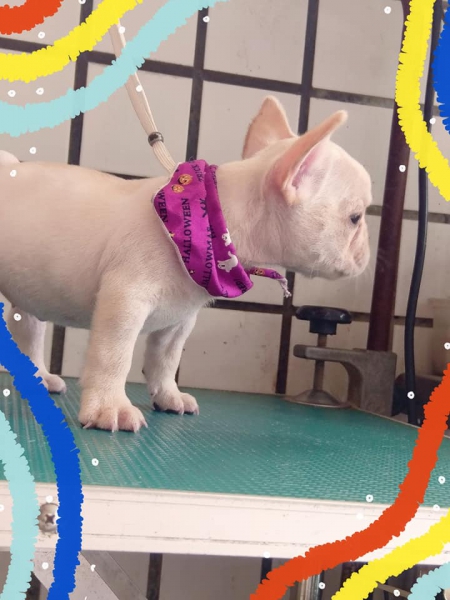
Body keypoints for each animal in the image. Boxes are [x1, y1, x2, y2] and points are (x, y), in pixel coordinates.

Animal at [0, 96, 371, 432]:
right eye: (355, 218)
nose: (368, 250)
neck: (209, 222)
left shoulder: (180, 319)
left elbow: (166, 359)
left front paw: (168, 396)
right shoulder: (124, 303)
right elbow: (114, 356)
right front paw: (109, 408)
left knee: (28, 330)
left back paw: (40, 377)